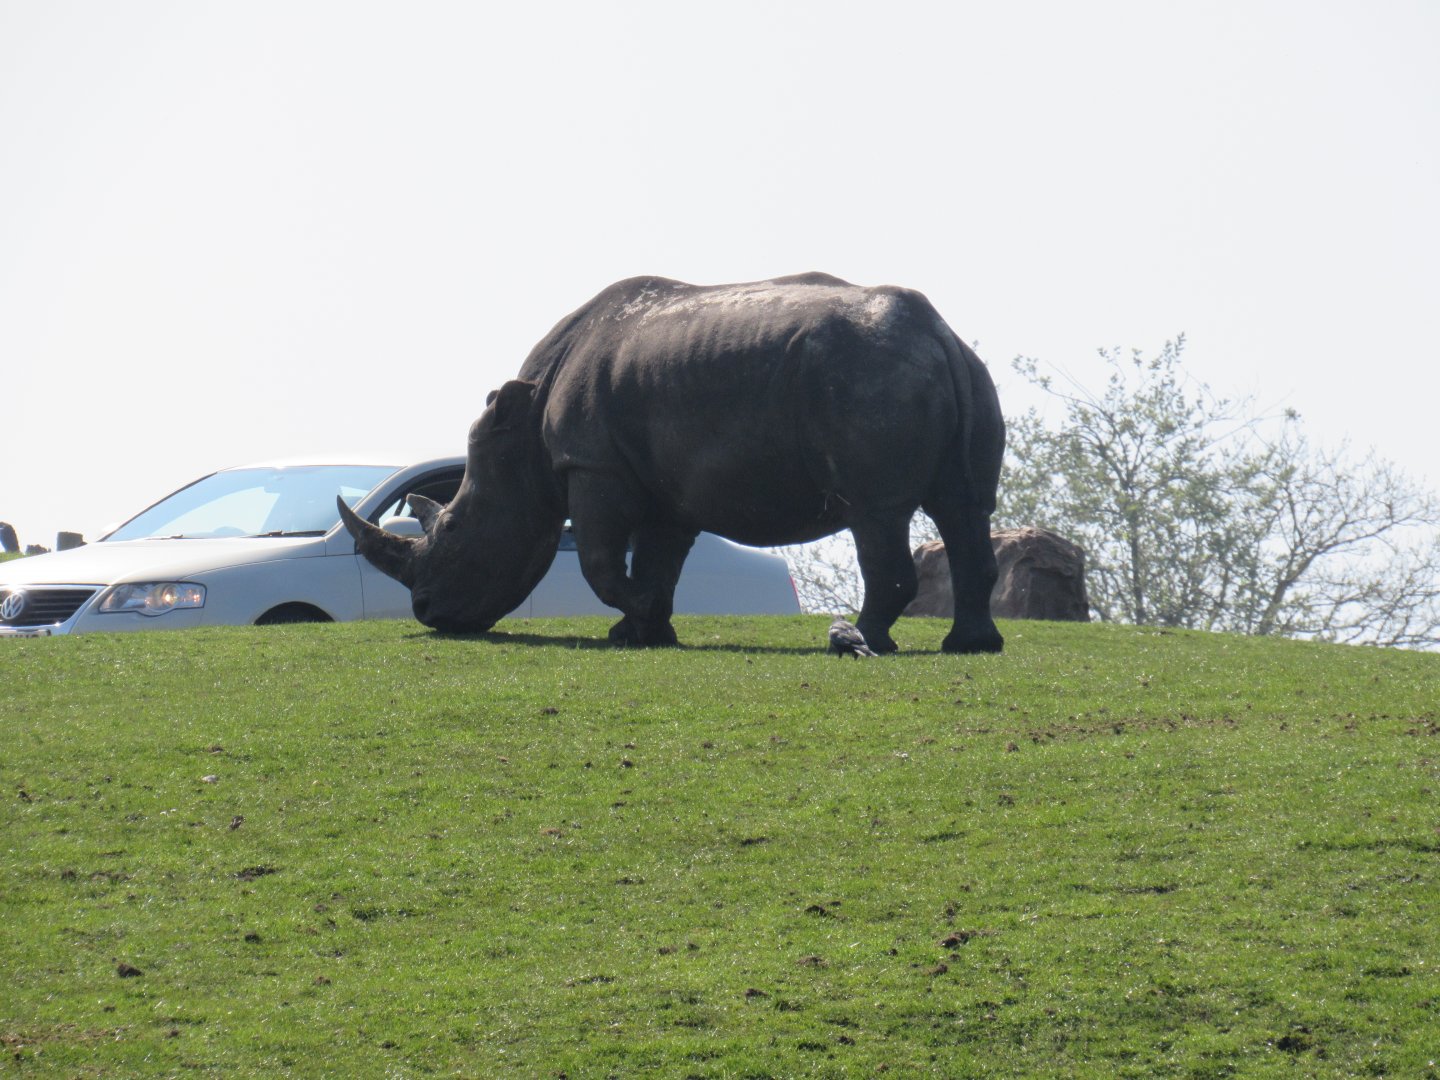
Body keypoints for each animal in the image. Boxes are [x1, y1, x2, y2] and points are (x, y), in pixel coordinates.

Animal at [339, 273, 1005, 653]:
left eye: (452, 529)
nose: (428, 614)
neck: (522, 434)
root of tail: (935, 332)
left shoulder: (593, 466)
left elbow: (601, 563)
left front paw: (641, 620)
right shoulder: (666, 483)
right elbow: (659, 560)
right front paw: (643, 633)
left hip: (869, 379)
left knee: (875, 513)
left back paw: (861, 641)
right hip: (960, 372)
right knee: (966, 507)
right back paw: (970, 647)